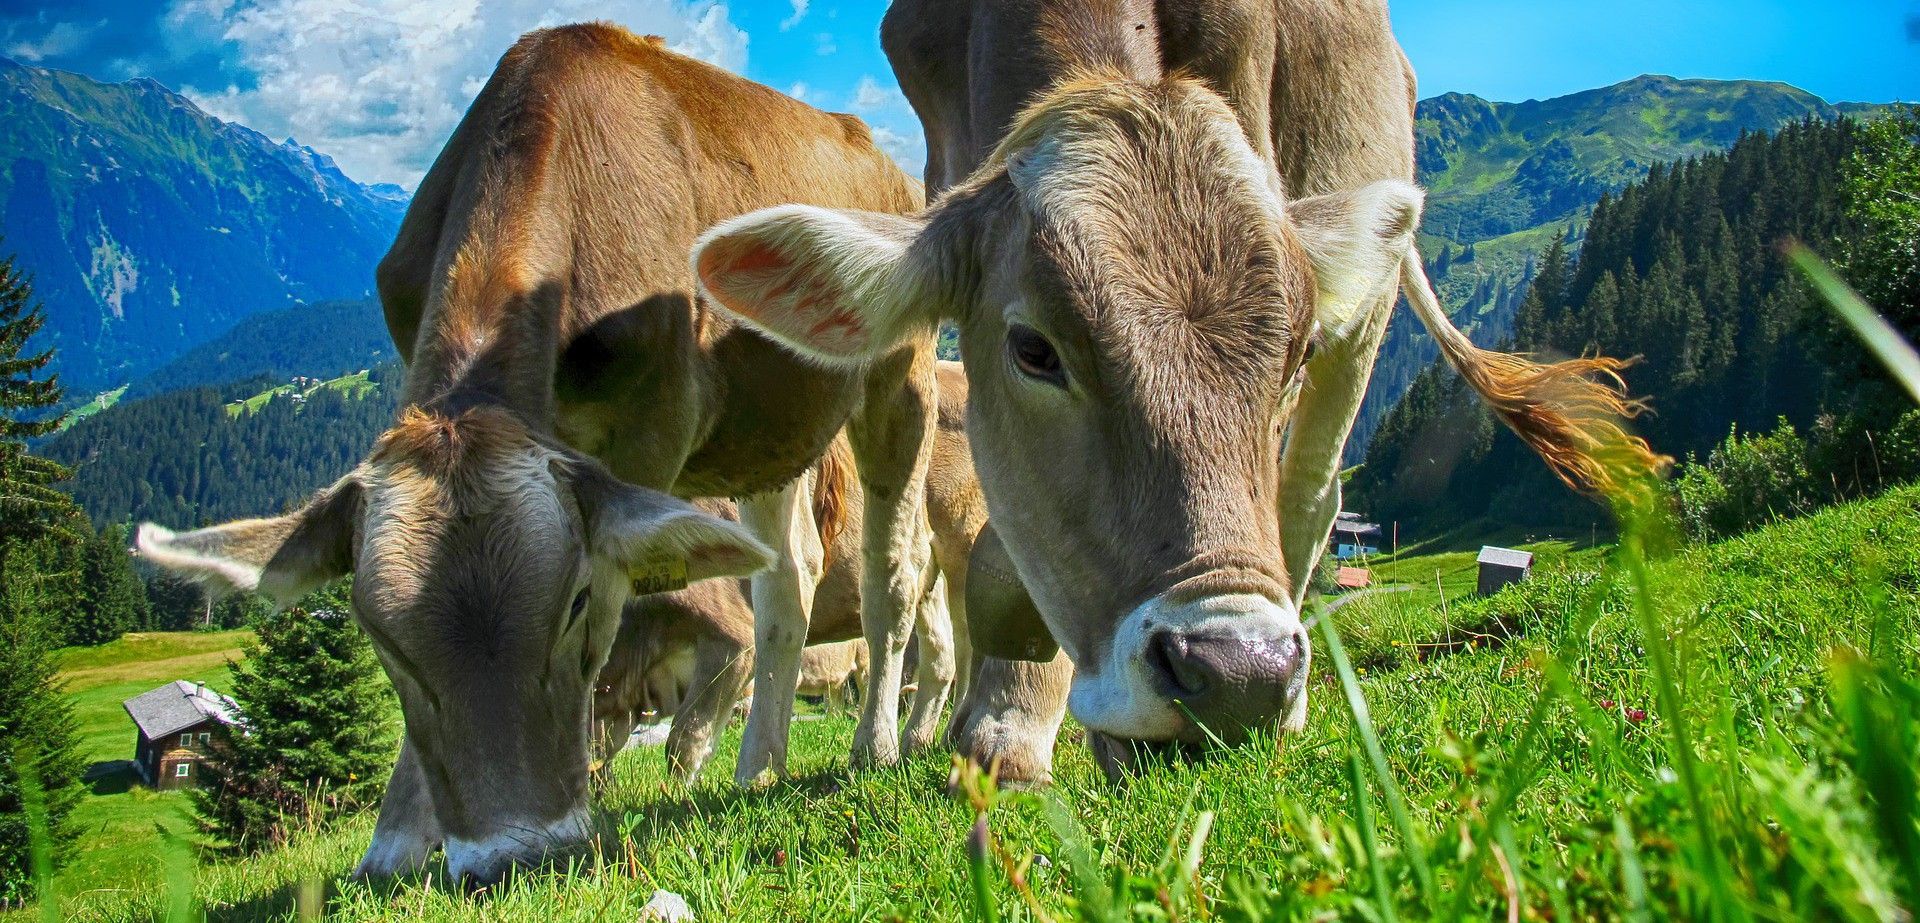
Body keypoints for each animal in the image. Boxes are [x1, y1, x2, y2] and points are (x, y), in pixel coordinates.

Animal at [131, 25, 933, 882]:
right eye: (380, 638)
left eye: (575, 601)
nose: (513, 854)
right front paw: (396, 841)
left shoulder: (648, 436)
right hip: (764, 433)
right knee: (790, 576)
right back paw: (759, 764)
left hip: (900, 377)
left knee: (893, 571)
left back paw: (875, 744)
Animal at [695, 0, 1666, 779]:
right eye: (1033, 350)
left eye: (1293, 354)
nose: (1239, 676)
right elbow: (1008, 553)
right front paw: (1007, 719)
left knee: (1310, 495)